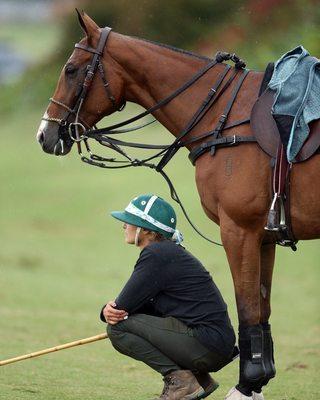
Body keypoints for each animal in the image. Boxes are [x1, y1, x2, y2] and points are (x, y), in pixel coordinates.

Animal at [35, 10, 320, 398]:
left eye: (71, 69)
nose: (44, 135)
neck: (224, 117)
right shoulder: (264, 237)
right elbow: (262, 310)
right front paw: (257, 385)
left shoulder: (239, 230)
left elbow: (247, 311)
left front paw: (245, 386)